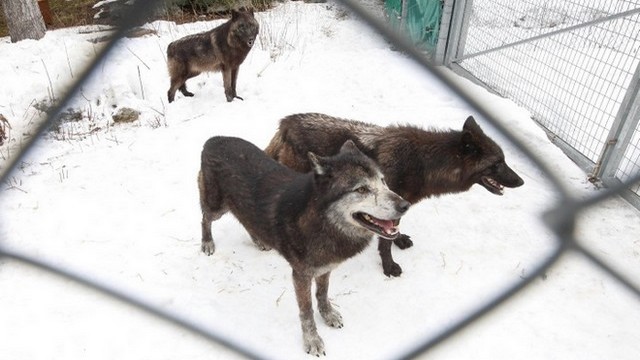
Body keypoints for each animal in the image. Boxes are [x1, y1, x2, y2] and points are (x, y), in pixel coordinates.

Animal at [199, 136, 410, 356]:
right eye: (361, 189)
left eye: (383, 181)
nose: (405, 205)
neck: (322, 222)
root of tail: (213, 139)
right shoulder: (300, 275)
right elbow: (306, 310)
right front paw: (312, 340)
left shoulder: (325, 268)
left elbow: (322, 294)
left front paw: (328, 315)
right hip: (216, 207)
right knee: (205, 218)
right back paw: (207, 243)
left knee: (245, 221)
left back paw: (259, 241)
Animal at [264, 114, 524, 278]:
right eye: (497, 164)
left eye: (504, 160)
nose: (521, 182)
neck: (423, 163)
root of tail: (285, 122)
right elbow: (384, 241)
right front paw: (389, 266)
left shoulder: (398, 204)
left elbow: (393, 229)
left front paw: (399, 239)